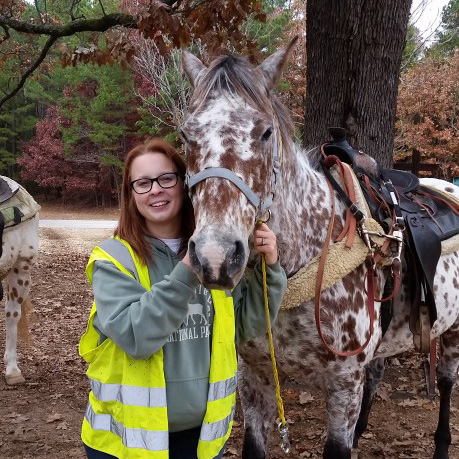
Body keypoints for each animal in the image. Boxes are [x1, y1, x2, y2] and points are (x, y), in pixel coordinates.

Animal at [181, 41, 459, 458]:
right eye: (185, 135)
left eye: (266, 132)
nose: (216, 257)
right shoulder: (254, 375)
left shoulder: (344, 383)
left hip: (453, 330)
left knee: (445, 381)